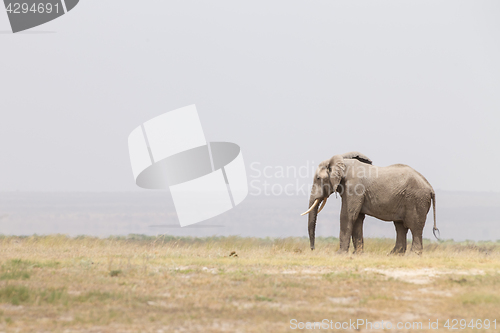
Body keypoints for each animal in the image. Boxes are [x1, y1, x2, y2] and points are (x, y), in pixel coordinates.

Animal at [300, 151, 438, 254]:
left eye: (318, 178)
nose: (313, 249)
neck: (342, 162)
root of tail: (430, 188)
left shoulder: (354, 188)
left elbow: (347, 215)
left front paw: (340, 254)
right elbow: (357, 218)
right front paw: (357, 254)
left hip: (416, 200)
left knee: (414, 226)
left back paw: (412, 255)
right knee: (400, 226)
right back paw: (393, 255)